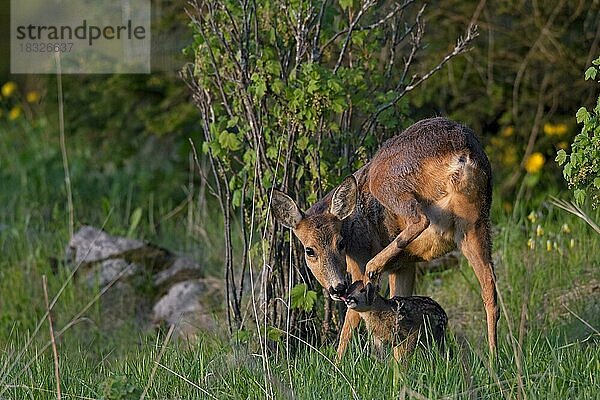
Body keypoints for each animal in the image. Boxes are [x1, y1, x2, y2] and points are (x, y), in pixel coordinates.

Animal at [272, 117, 496, 358]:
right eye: (309, 250)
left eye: (340, 243)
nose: (337, 288)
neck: (350, 228)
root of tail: (461, 152)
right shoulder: (405, 266)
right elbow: (398, 301)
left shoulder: (359, 262)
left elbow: (350, 324)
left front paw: (337, 363)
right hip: (475, 223)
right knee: (490, 289)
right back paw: (494, 357)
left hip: (386, 181)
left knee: (418, 218)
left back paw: (375, 266)